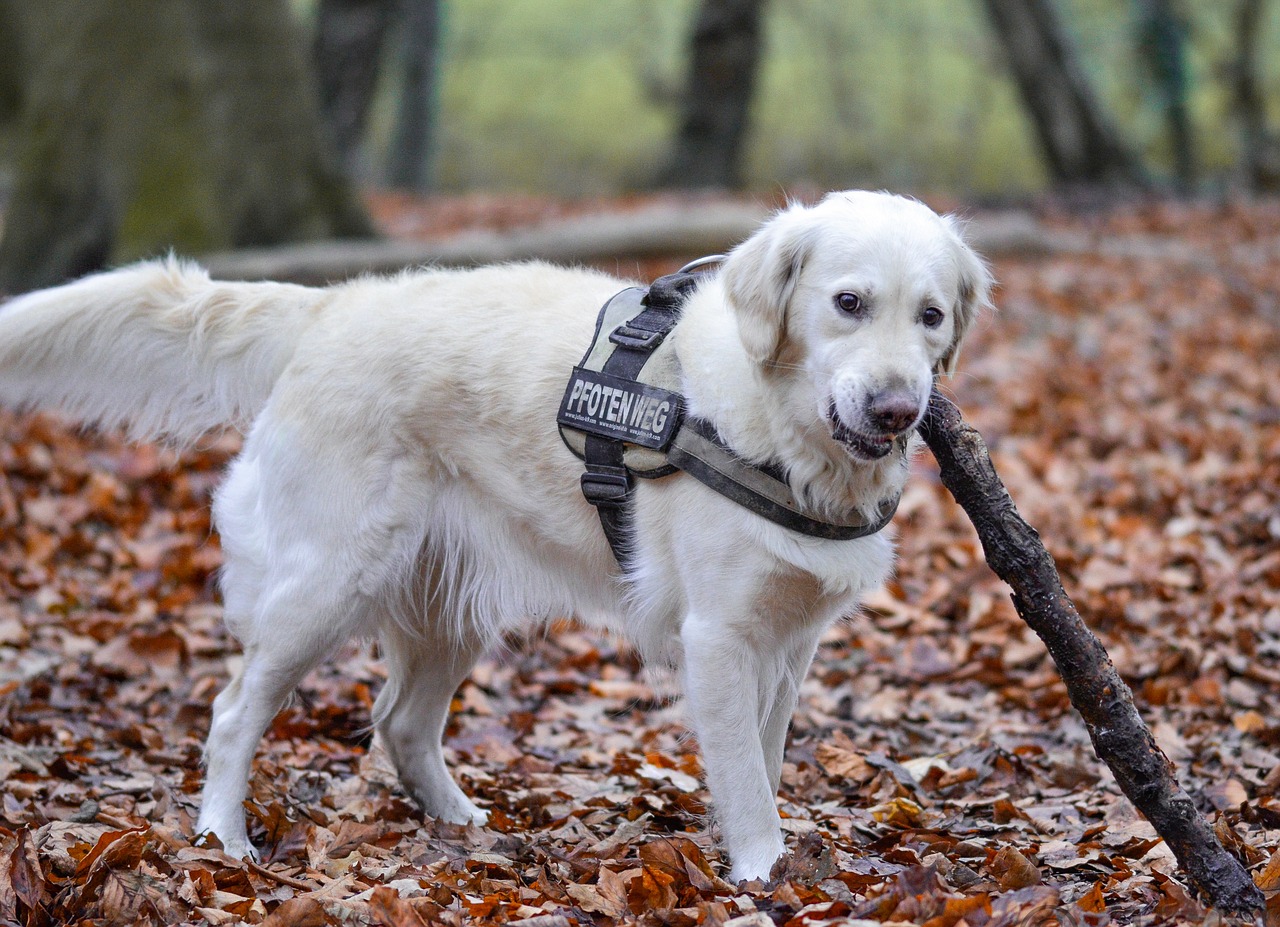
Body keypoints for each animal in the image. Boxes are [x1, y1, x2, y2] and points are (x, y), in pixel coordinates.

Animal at [0, 189, 988, 886]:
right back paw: (221, 838)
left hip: (443, 608)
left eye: (931, 315)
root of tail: (330, 306)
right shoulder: (720, 637)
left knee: (398, 721)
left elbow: (770, 755)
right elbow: (746, 775)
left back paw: (465, 826)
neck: (779, 432)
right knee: (233, 711)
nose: (898, 408)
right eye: (848, 302)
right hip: (324, 583)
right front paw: (764, 873)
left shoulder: (788, 641)